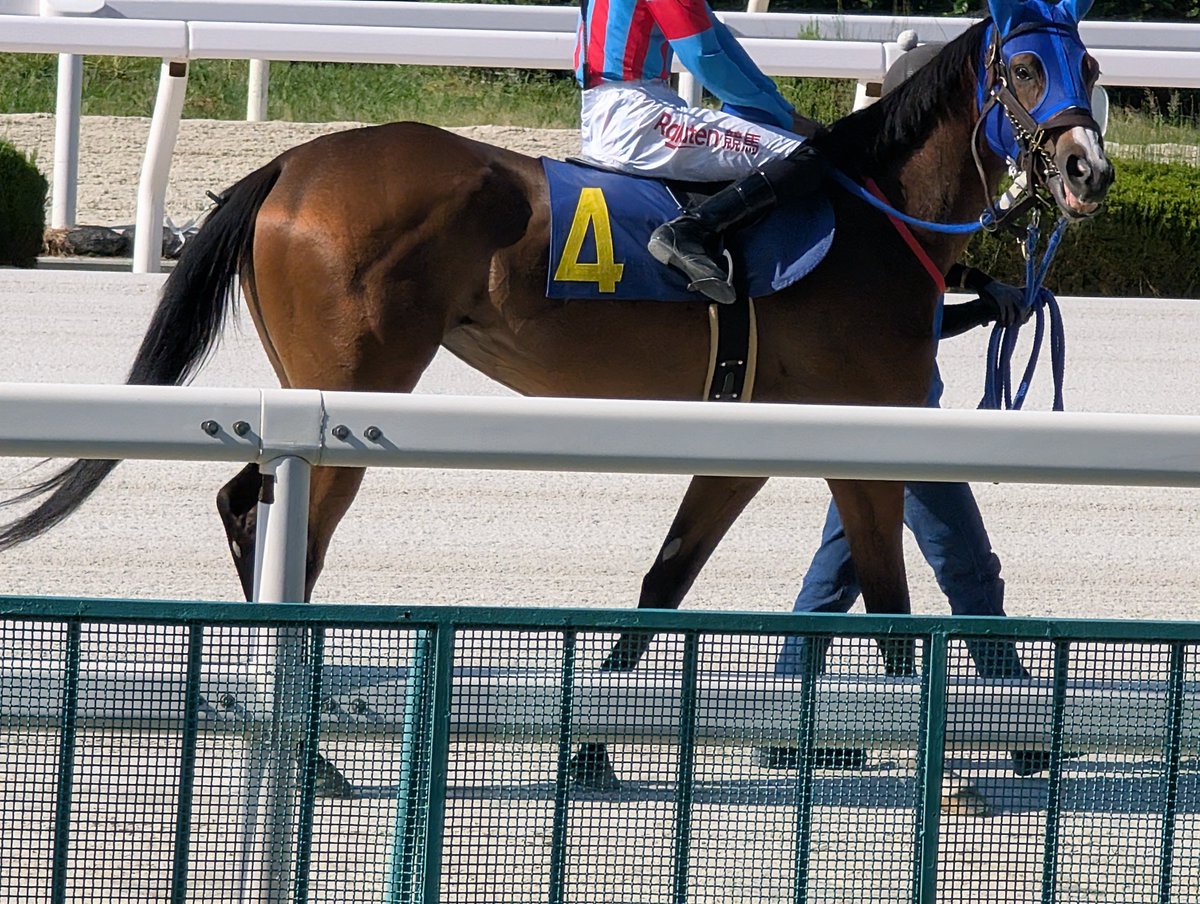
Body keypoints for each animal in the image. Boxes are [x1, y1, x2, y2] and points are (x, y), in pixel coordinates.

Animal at [2, 11, 1108, 695]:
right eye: (1023, 67)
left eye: (1091, 71)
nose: (1086, 168)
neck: (874, 214)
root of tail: (288, 165)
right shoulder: (861, 442)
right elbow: (890, 605)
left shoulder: (755, 441)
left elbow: (665, 582)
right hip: (349, 394)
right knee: (275, 521)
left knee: (255, 509)